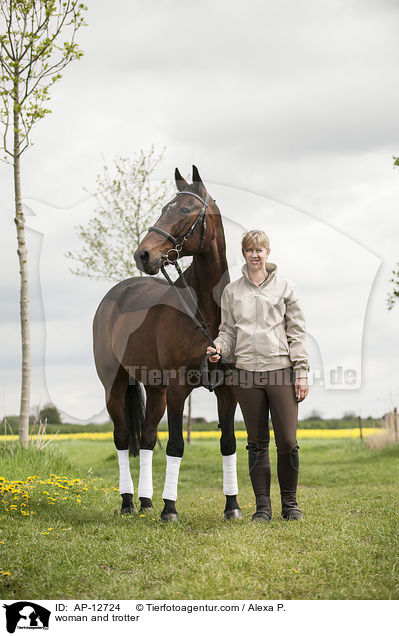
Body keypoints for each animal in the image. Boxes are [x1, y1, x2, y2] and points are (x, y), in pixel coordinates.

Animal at [93, 165, 242, 520]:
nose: (143, 255)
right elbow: (175, 445)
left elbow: (228, 444)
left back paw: (146, 501)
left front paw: (232, 506)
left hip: (155, 388)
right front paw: (170, 509)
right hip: (115, 384)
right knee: (123, 438)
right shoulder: (178, 388)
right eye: (164, 208)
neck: (205, 310)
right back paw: (129, 502)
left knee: (147, 439)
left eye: (185, 209)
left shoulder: (227, 390)